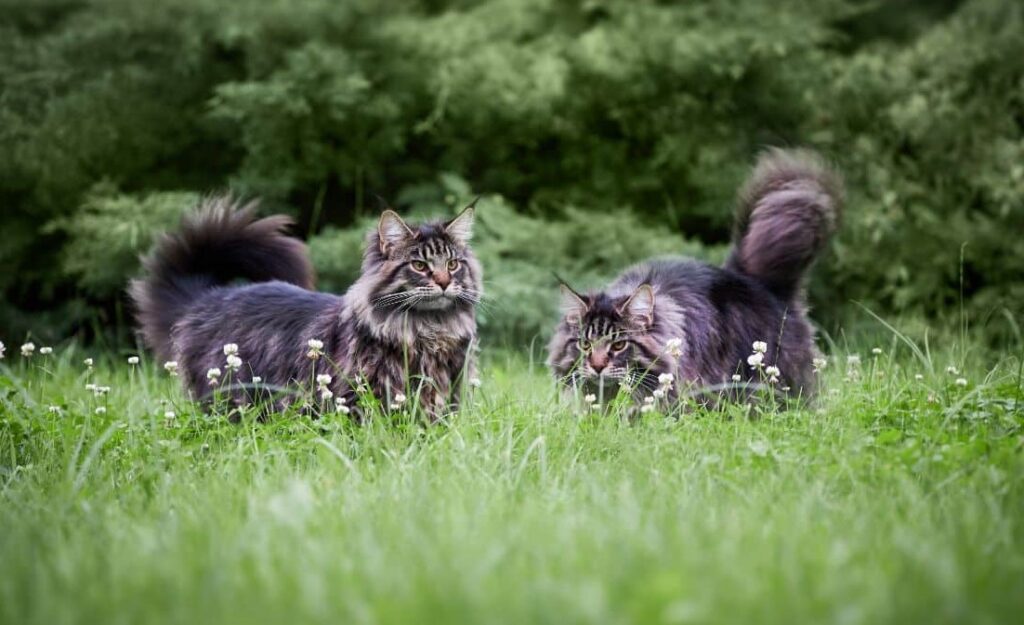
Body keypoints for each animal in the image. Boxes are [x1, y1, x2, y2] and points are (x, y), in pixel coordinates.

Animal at [132, 194, 483, 418]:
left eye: (453, 264)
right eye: (420, 266)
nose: (443, 282)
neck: (427, 332)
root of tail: (209, 298)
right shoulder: (359, 398)